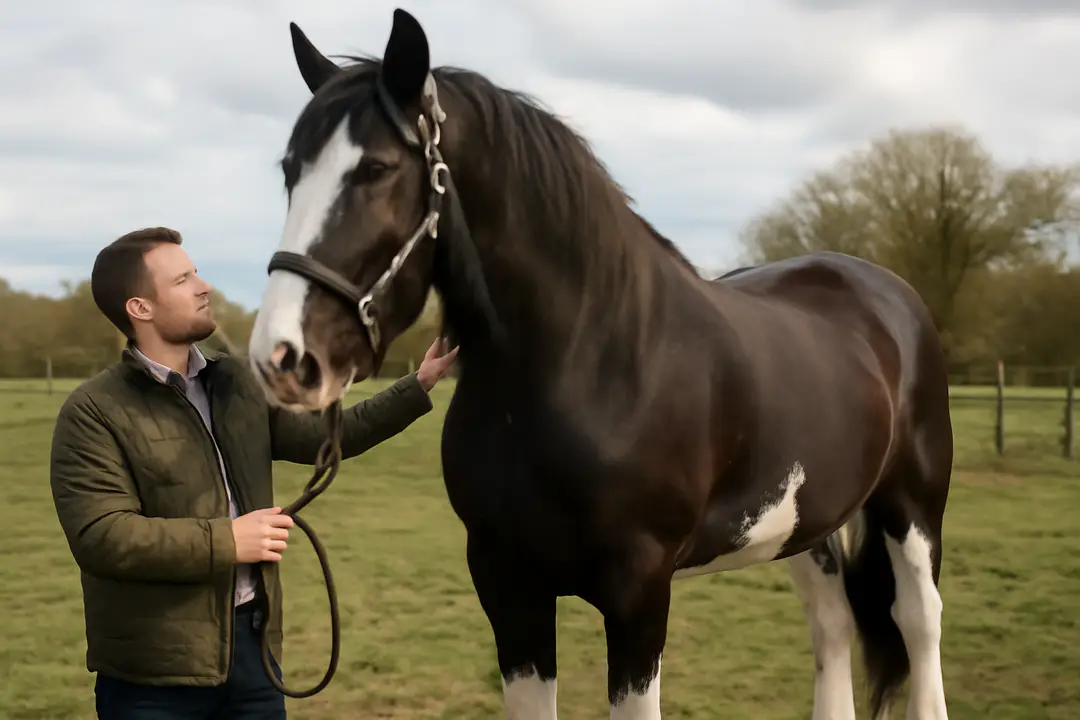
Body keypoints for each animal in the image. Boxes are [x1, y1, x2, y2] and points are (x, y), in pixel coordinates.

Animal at [247, 9, 953, 719]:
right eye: (289, 171)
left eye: (377, 168)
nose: (281, 357)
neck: (588, 369)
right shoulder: (510, 587)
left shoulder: (639, 593)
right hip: (804, 523)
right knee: (832, 623)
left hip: (913, 503)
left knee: (918, 620)